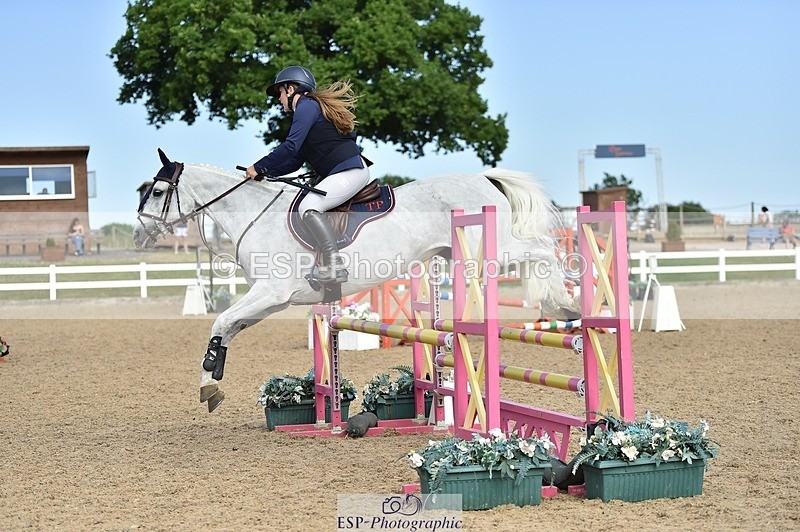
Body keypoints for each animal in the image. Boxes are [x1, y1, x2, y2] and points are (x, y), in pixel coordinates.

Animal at [134, 149, 579, 412]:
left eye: (156, 192)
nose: (139, 235)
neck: (256, 215)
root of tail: (485, 179)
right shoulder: (273, 300)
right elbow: (226, 328)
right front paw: (211, 382)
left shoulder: (271, 291)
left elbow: (221, 321)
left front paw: (209, 380)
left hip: (494, 252)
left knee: (543, 251)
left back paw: (564, 303)